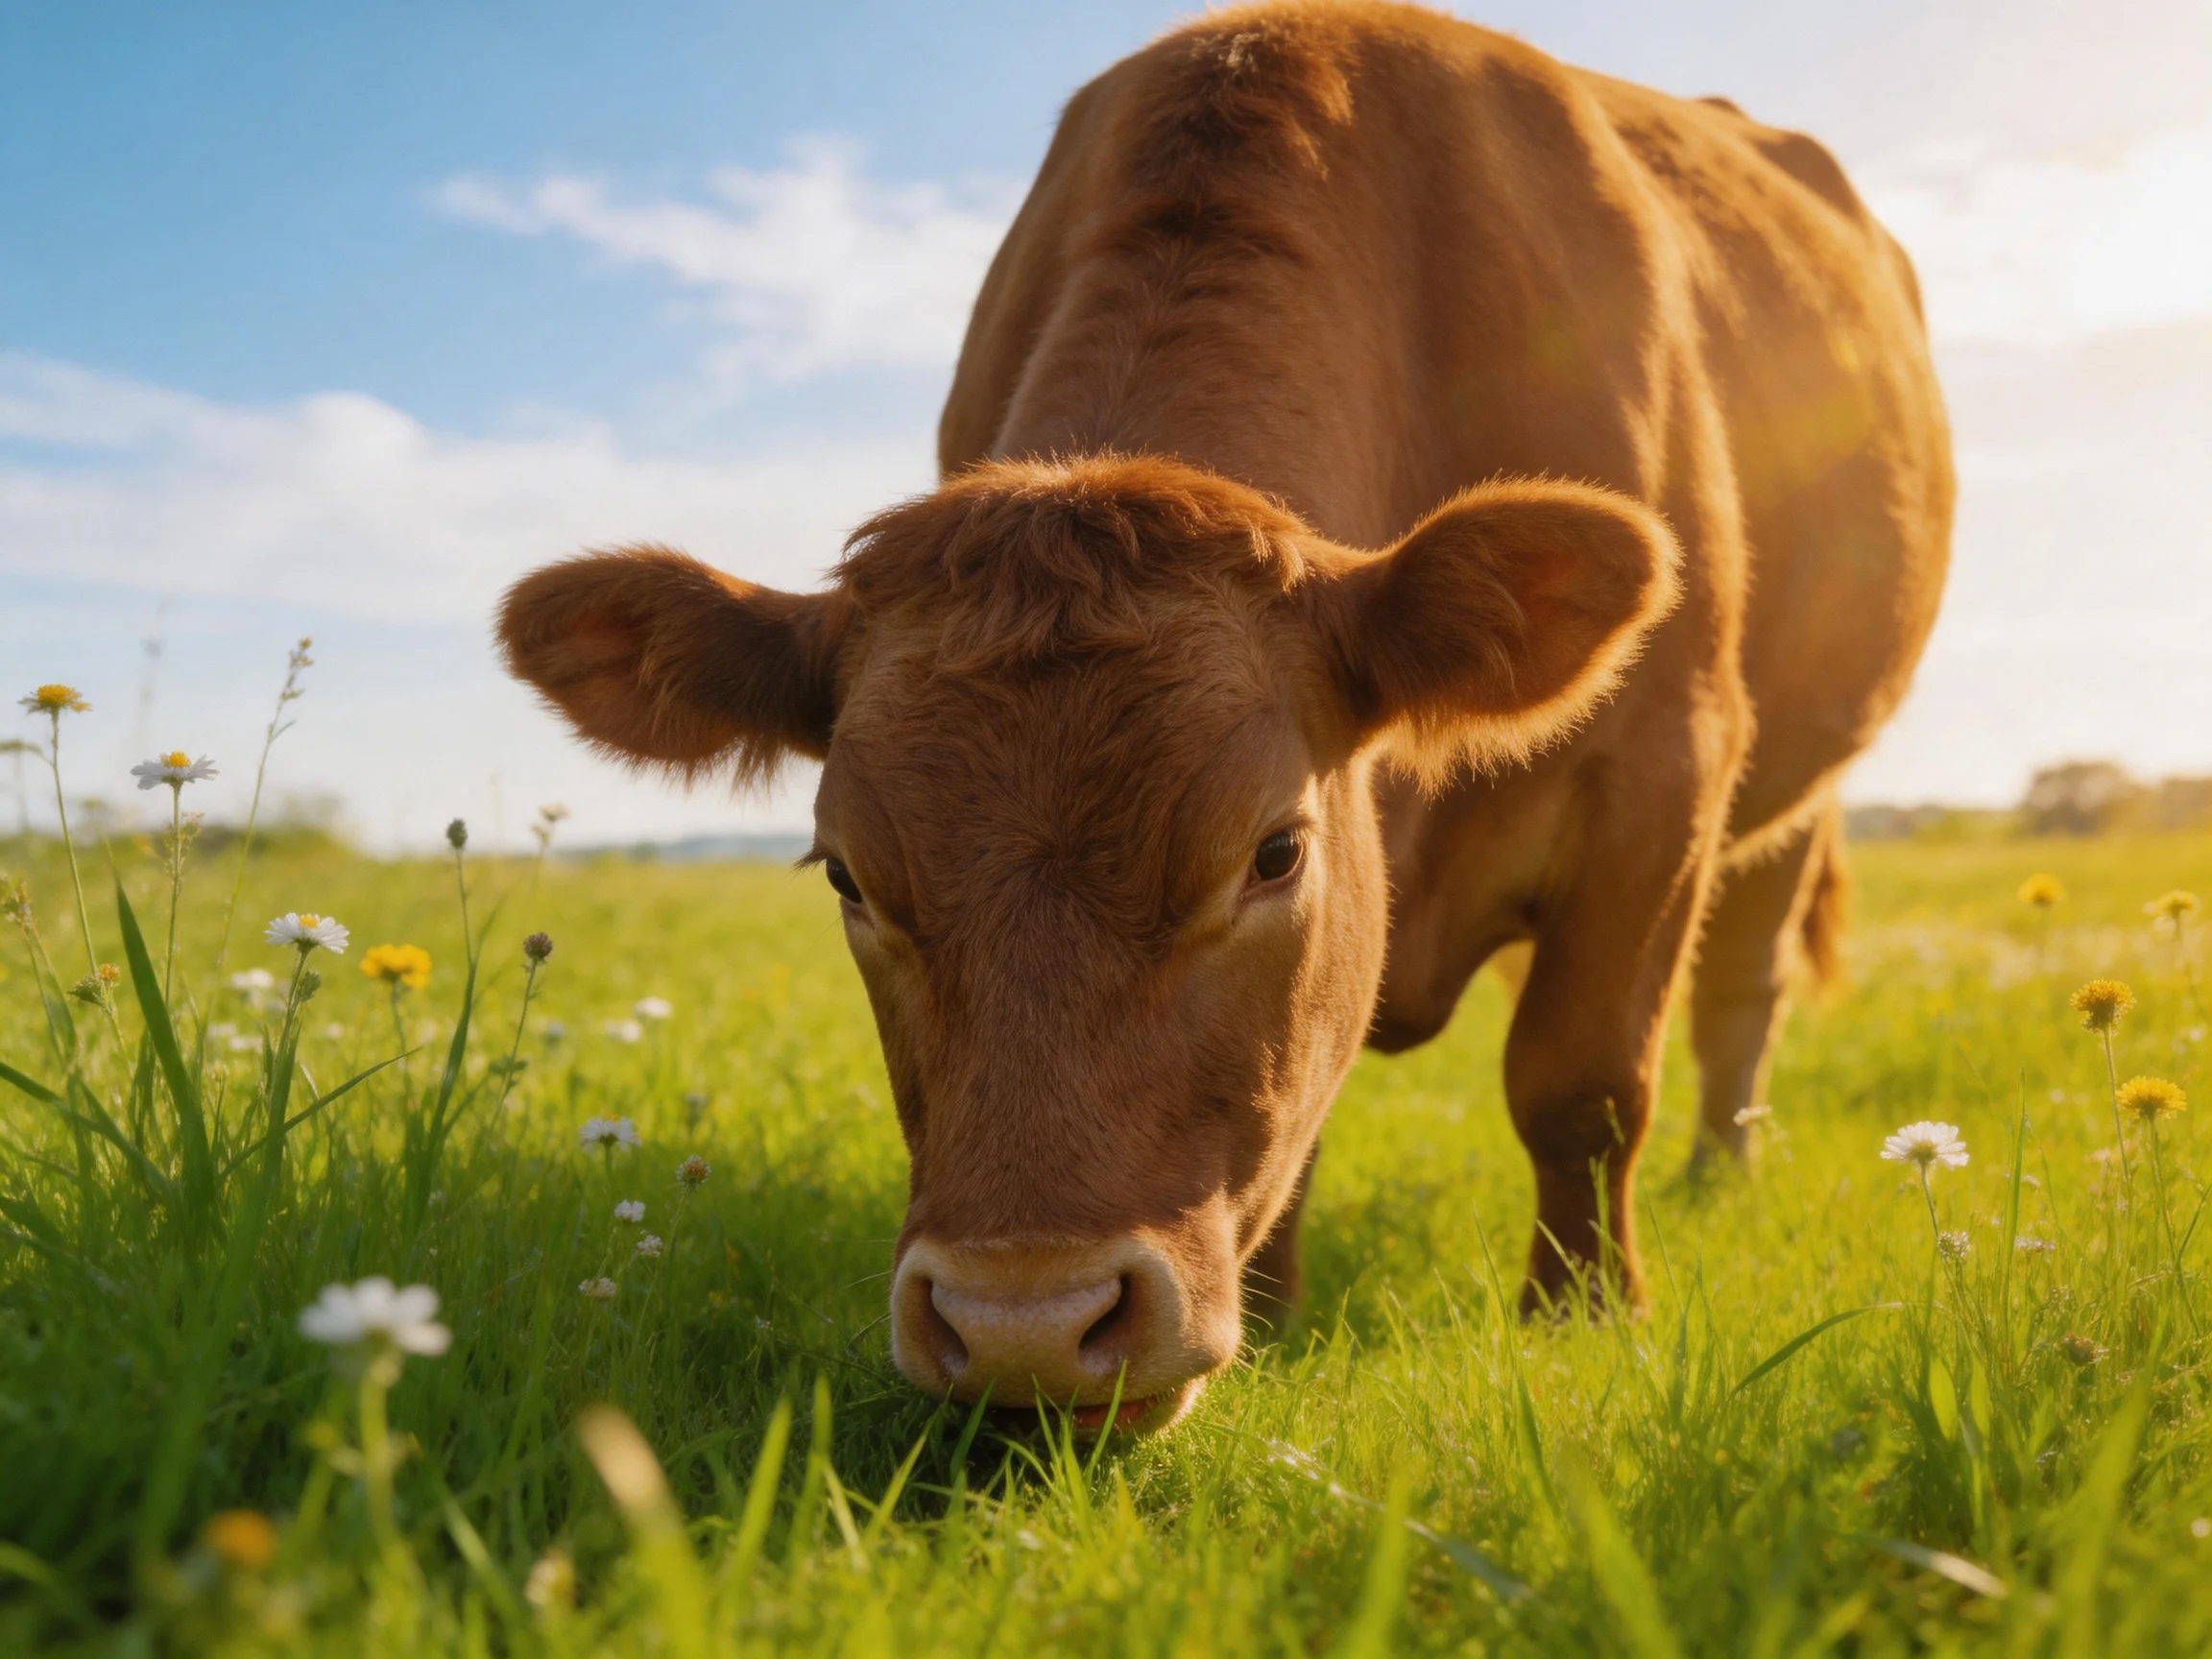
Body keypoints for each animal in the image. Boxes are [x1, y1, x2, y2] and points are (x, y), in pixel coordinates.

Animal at [498, 1, 1950, 1432]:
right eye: (849, 877)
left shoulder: (1659, 779)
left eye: (1273, 852)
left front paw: (1585, 1319)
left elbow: (1582, 1085)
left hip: (1793, 794)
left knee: (1741, 987)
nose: (1026, 1326)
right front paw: (1282, 1311)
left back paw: (1722, 1175)